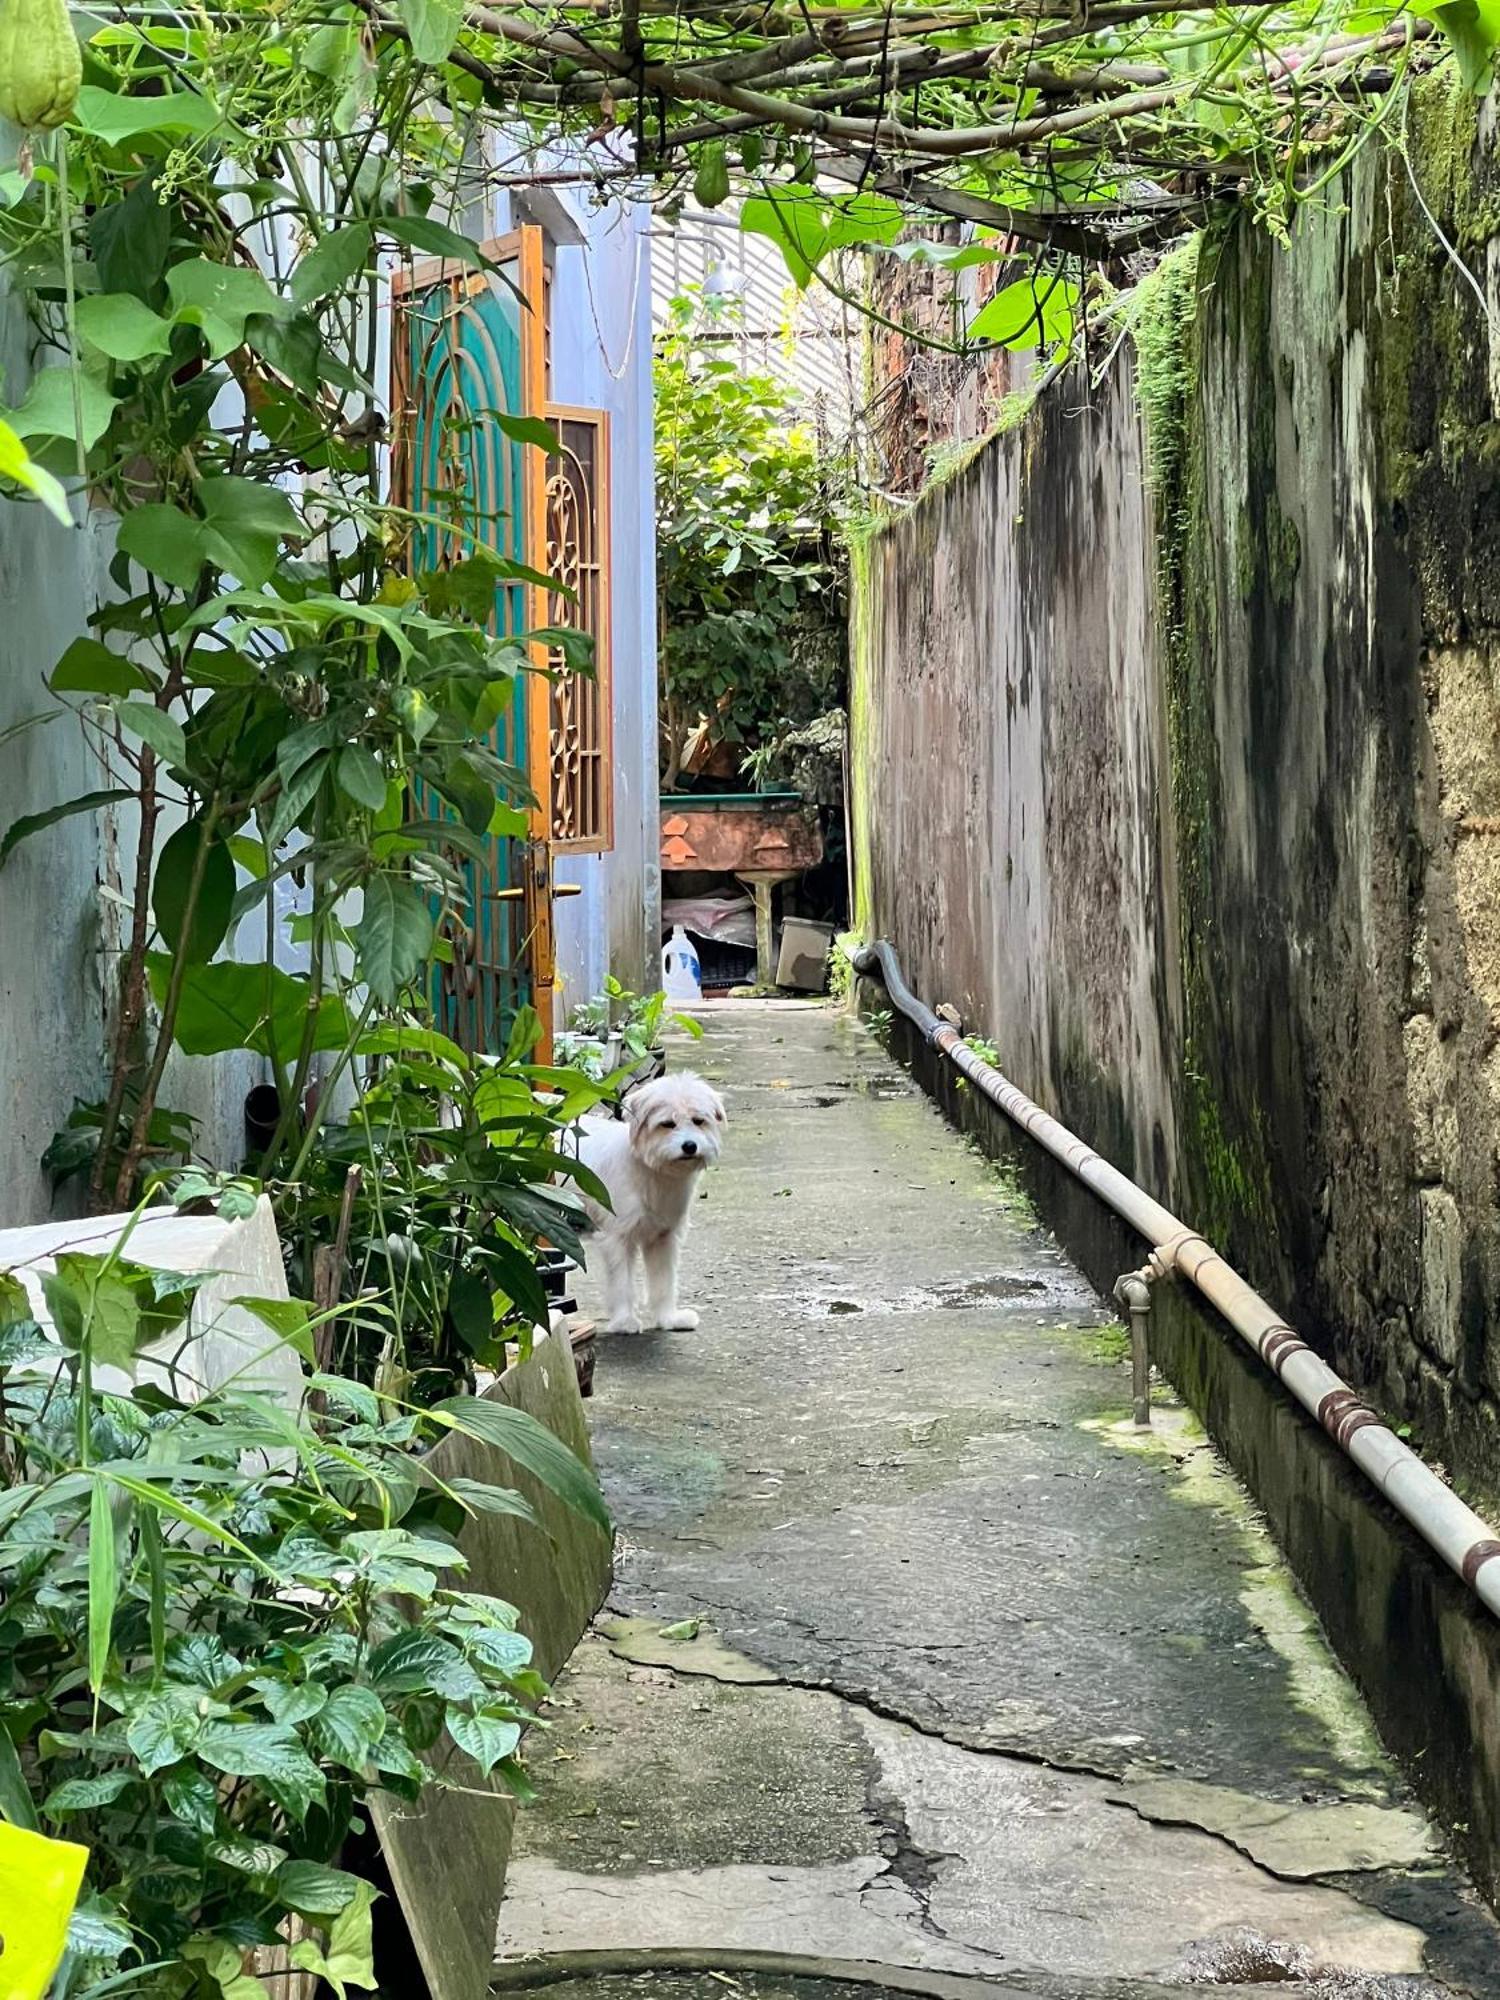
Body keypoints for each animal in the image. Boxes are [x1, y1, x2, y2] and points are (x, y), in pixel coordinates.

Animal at [576, 1072, 728, 1336]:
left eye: (698, 1121)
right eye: (667, 1124)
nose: (690, 1146)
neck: (650, 1170)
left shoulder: (663, 1238)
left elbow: (663, 1282)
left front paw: (669, 1318)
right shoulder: (618, 1238)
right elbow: (623, 1283)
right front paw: (625, 1321)